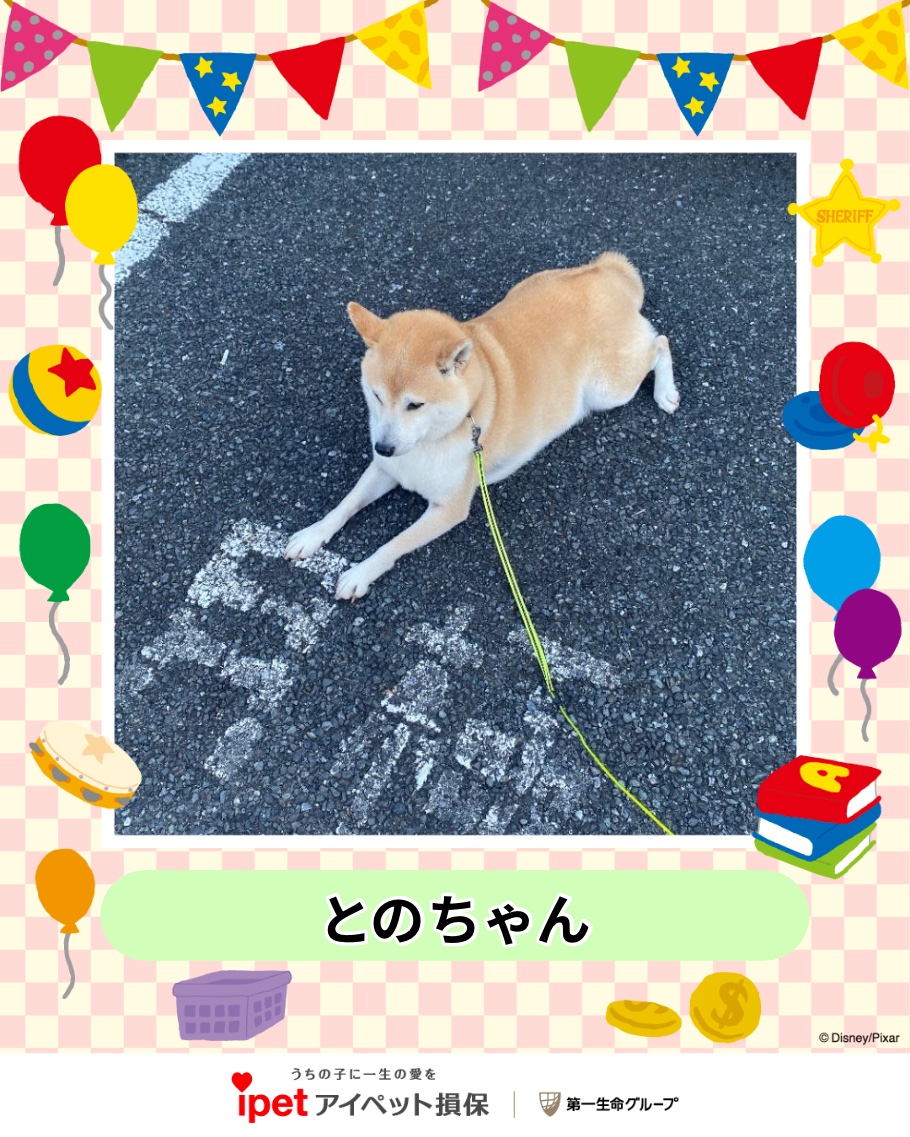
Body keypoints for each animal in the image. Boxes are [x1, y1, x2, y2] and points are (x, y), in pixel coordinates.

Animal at [285, 251, 679, 599]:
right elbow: (346, 504)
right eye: (377, 395)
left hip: (608, 389)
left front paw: (360, 572)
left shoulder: (448, 508)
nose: (382, 446)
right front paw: (312, 534)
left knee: (660, 343)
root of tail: (607, 274)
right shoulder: (387, 468)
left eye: (415, 404)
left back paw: (666, 392)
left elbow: (392, 545)